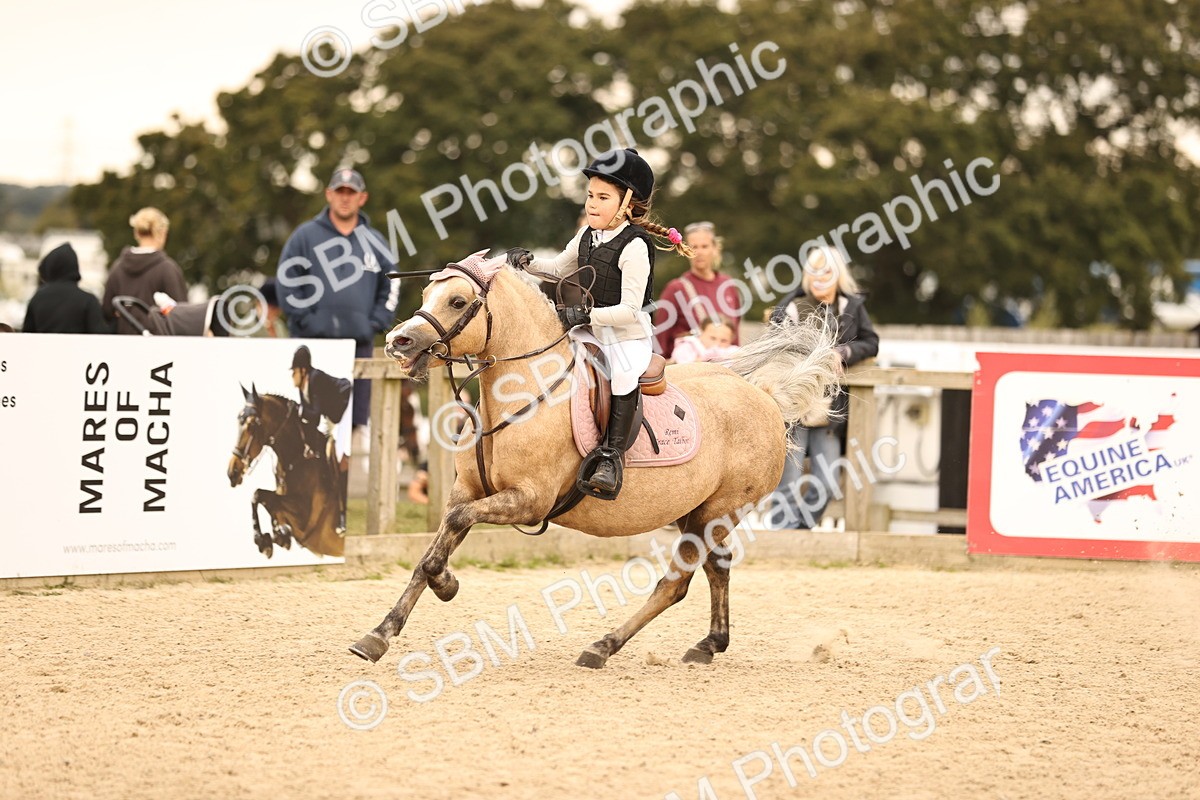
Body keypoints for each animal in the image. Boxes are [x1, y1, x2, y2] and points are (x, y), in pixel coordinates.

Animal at [227, 385, 345, 558]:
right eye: (238, 421)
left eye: (253, 424)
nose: (232, 472)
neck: (297, 459)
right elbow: (262, 499)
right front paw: (275, 537)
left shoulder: (304, 517)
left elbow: (261, 496)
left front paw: (265, 539)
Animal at [349, 254, 839, 668]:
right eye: (424, 295)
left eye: (456, 301)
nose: (397, 341)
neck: (519, 394)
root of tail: (766, 397)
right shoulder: (466, 492)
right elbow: (434, 547)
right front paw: (380, 633)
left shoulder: (529, 500)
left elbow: (450, 532)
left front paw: (445, 585)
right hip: (696, 512)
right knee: (716, 568)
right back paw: (708, 645)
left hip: (717, 513)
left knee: (676, 583)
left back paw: (604, 646)